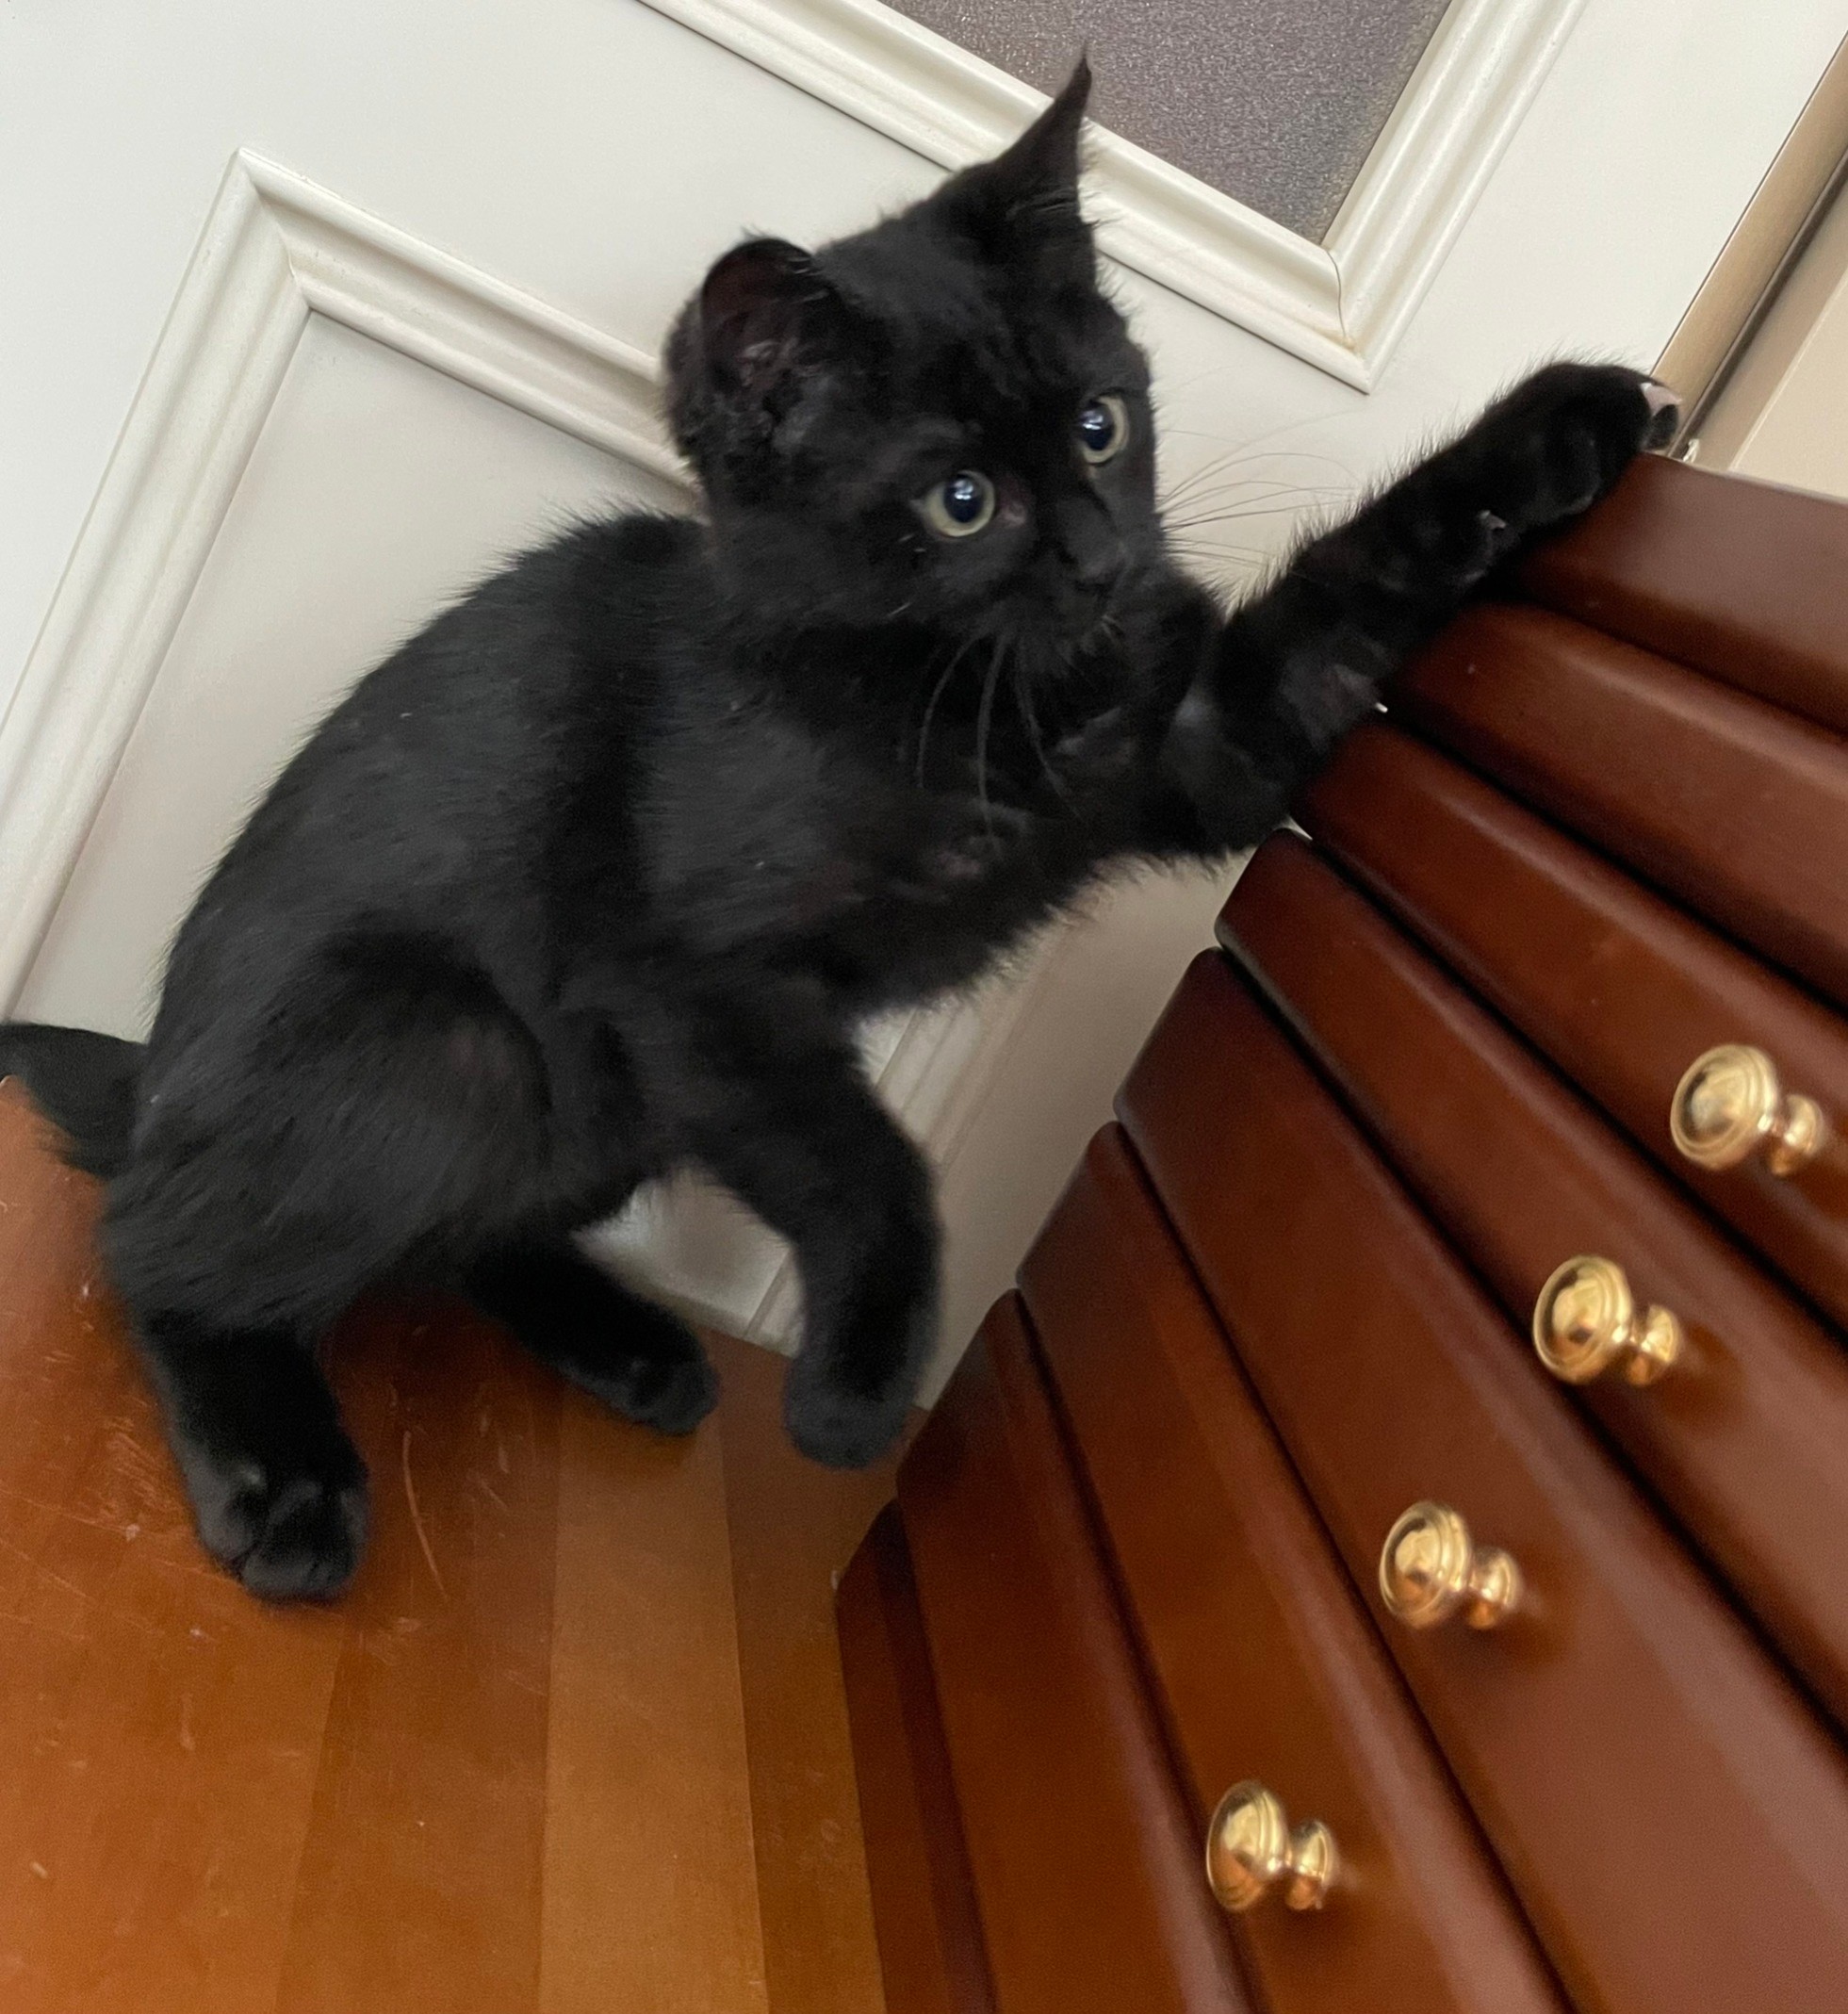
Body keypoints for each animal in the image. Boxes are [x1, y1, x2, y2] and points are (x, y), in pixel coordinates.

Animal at [0, 59, 1676, 1599]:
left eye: (1098, 424)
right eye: (958, 500)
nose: (1099, 557)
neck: (972, 690)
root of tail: (154, 1094)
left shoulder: (1213, 741)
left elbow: (1356, 579)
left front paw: (1565, 426)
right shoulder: (694, 983)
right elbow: (873, 1165)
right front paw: (860, 1387)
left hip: (598, 1114)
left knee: (454, 1237)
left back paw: (621, 1340)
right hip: (461, 1056)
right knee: (151, 1241)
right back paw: (276, 1464)